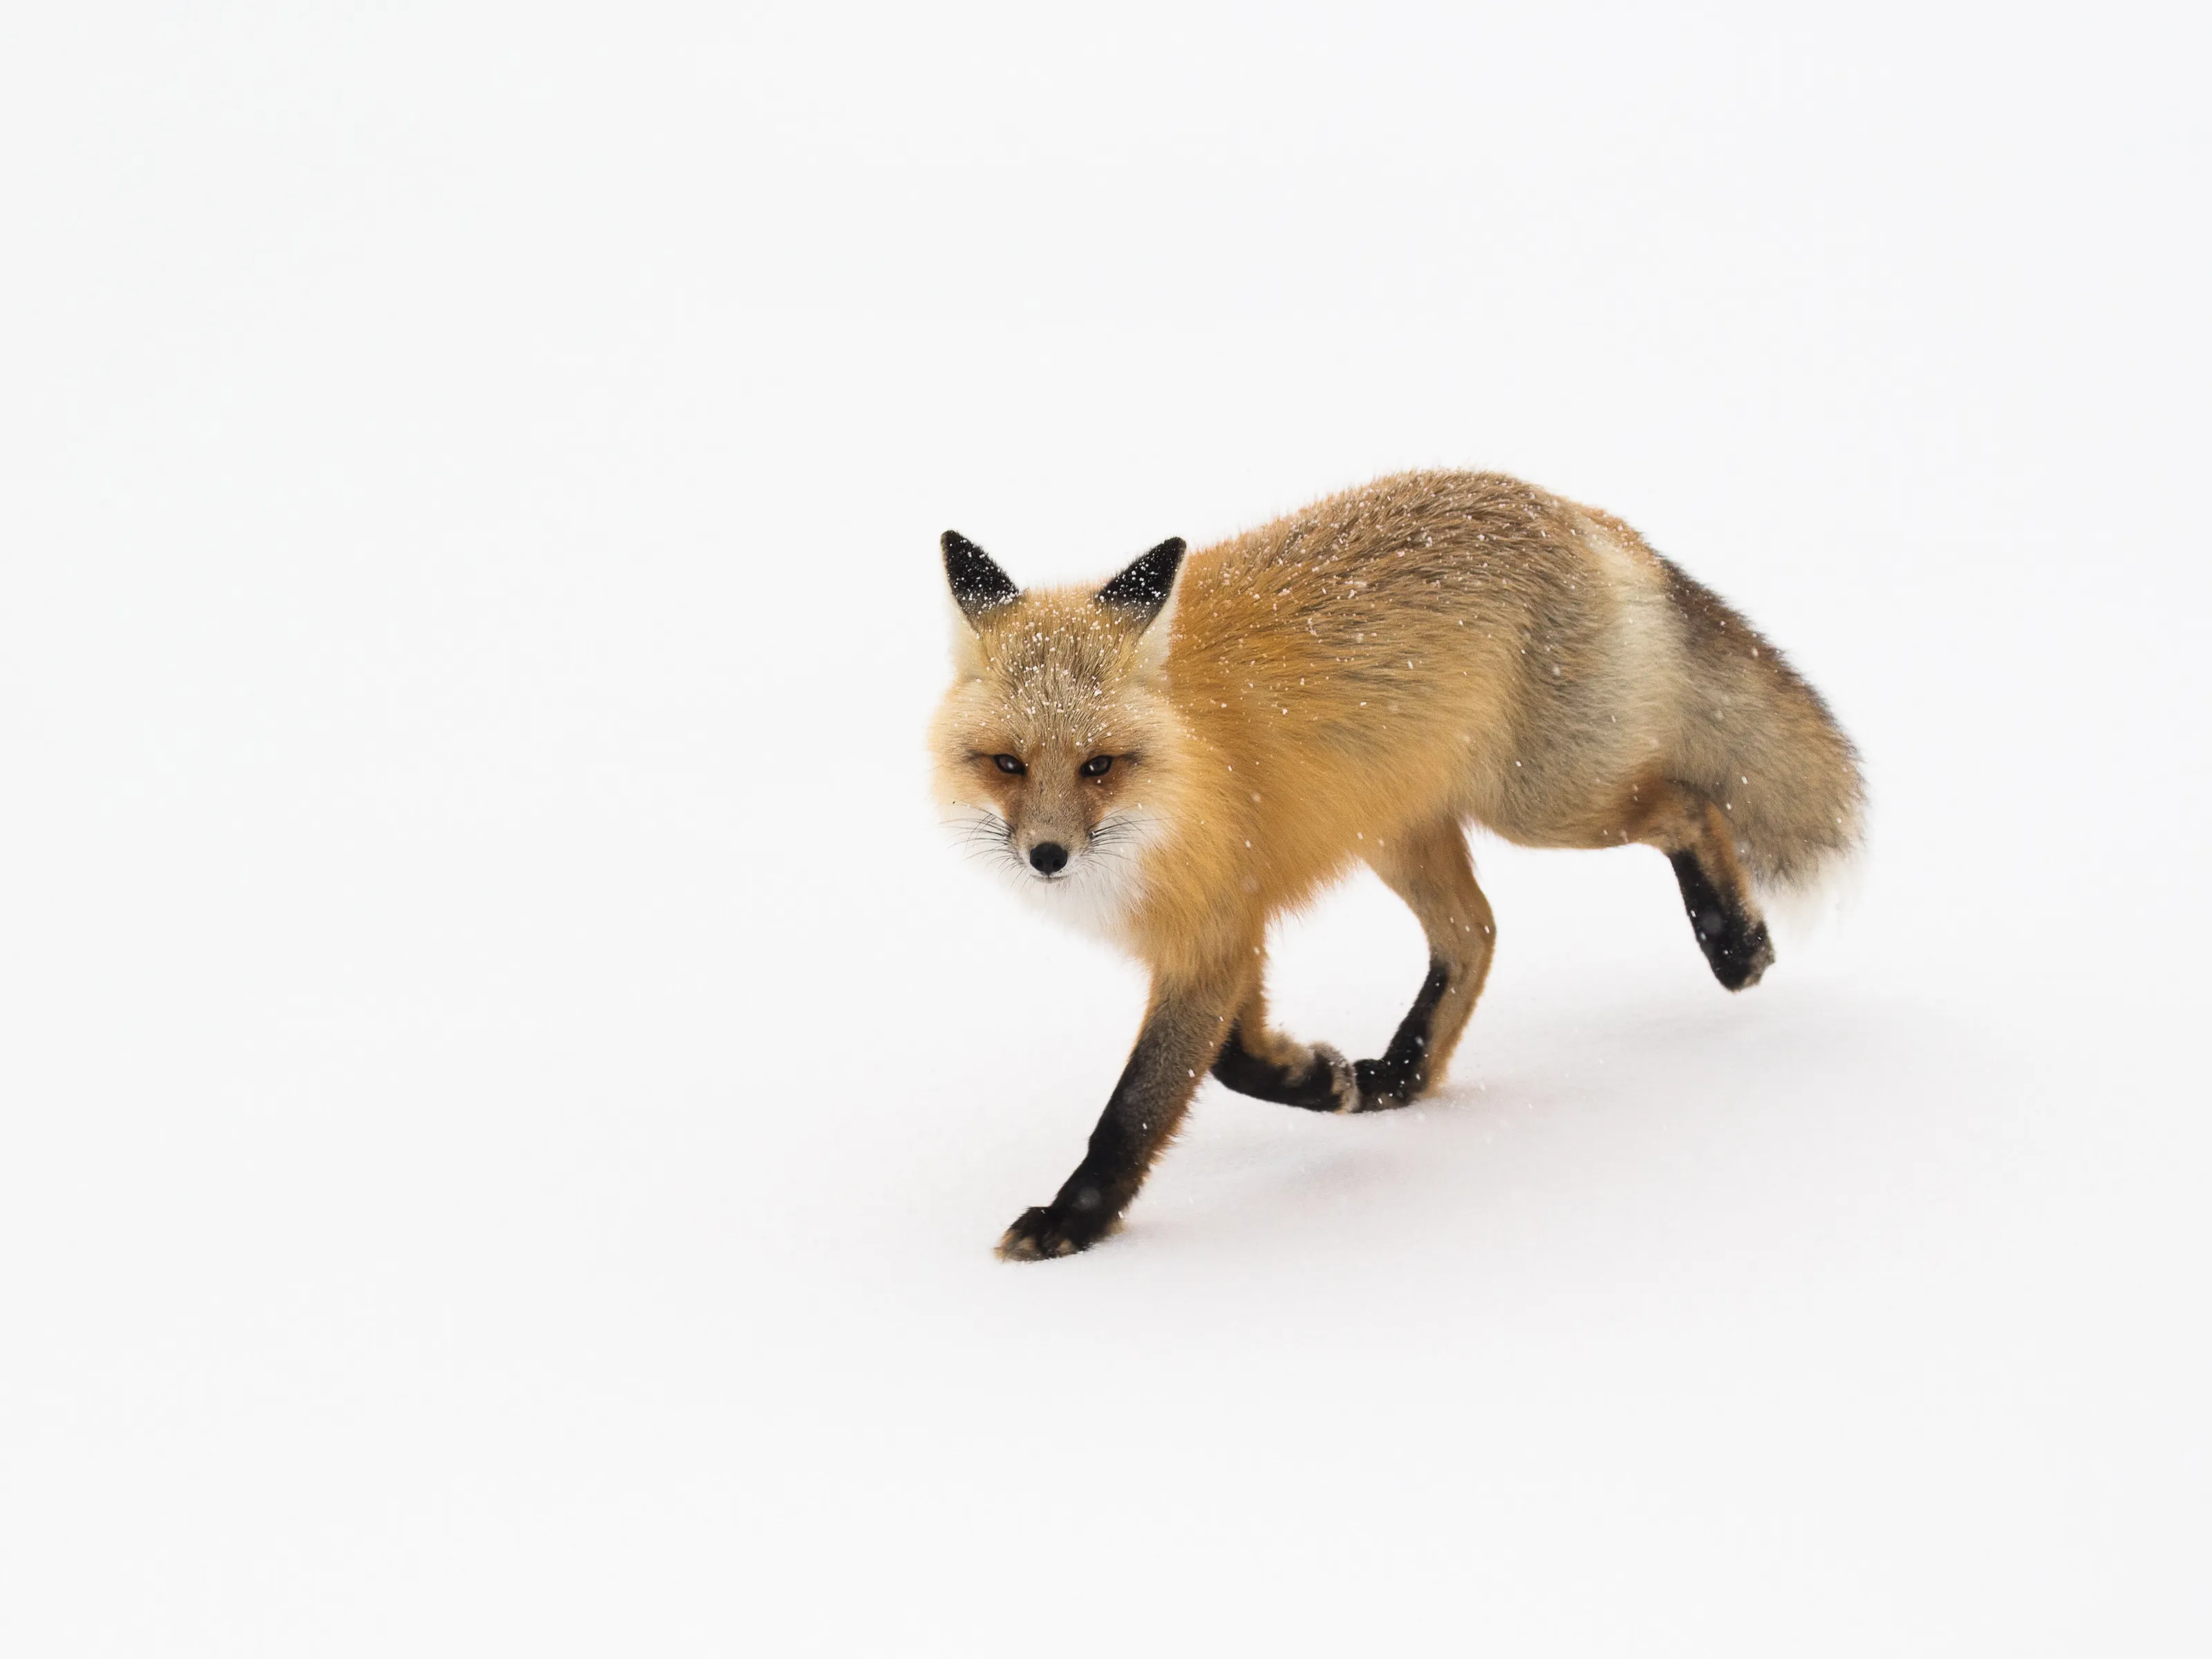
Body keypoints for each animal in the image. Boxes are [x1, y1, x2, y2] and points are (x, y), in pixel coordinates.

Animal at [930, 470, 1863, 1260]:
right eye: (1006, 764)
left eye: (1099, 766)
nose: (1046, 856)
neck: (1177, 776)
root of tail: (1568, 507)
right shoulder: (1230, 926)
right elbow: (1237, 1059)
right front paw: (1316, 1078)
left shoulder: (1211, 933)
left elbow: (1142, 1102)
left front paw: (1073, 1220)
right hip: (1399, 834)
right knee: (1475, 933)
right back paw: (1403, 1072)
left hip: (1543, 803)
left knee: (1689, 806)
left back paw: (1734, 943)